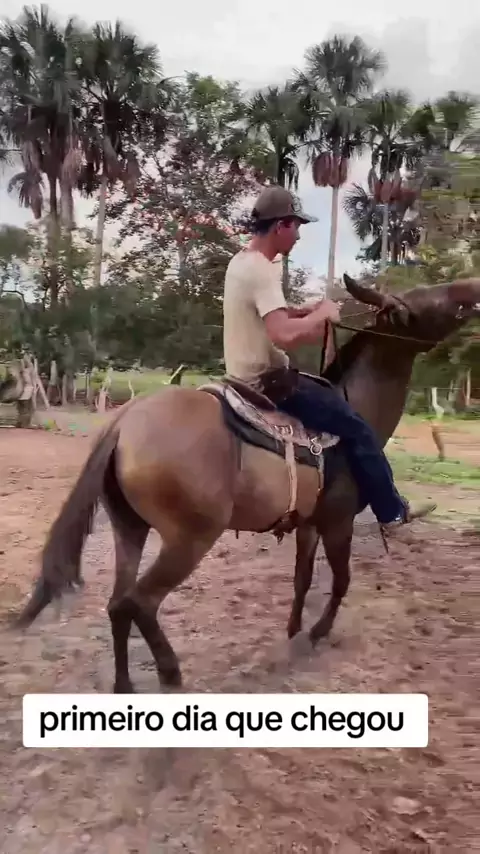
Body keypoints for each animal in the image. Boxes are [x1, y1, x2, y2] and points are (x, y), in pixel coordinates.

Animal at [11, 273, 480, 693]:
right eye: (425, 301)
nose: (470, 286)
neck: (355, 409)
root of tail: (125, 422)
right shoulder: (338, 522)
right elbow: (342, 580)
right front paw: (316, 633)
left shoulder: (308, 525)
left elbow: (302, 578)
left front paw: (293, 629)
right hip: (189, 539)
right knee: (140, 602)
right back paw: (170, 672)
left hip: (130, 528)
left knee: (117, 604)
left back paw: (124, 685)